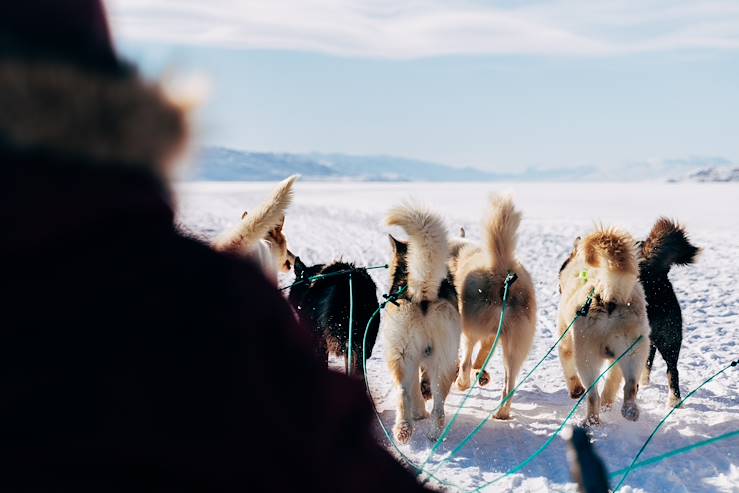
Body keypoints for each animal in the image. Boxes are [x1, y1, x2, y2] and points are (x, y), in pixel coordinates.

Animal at [384, 203, 460, 442]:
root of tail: (422, 291)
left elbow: (414, 390)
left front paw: (418, 413)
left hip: (400, 355)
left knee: (403, 391)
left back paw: (406, 426)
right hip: (443, 361)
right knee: (438, 407)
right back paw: (428, 432)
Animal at [450, 196, 536, 418]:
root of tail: (500, 268)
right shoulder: (491, 337)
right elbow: (482, 357)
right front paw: (482, 373)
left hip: (470, 331)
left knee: (465, 363)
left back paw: (462, 382)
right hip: (514, 346)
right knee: (509, 384)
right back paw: (501, 412)